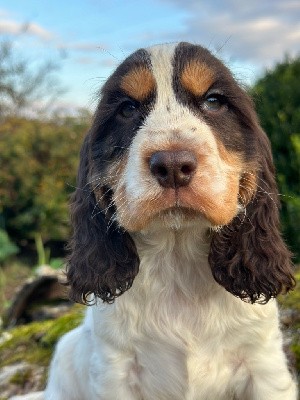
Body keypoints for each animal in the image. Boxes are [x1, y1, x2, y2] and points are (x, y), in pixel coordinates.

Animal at [45, 42, 298, 398]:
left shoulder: (263, 365)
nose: (174, 164)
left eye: (213, 101)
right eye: (126, 109)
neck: (176, 256)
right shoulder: (114, 370)